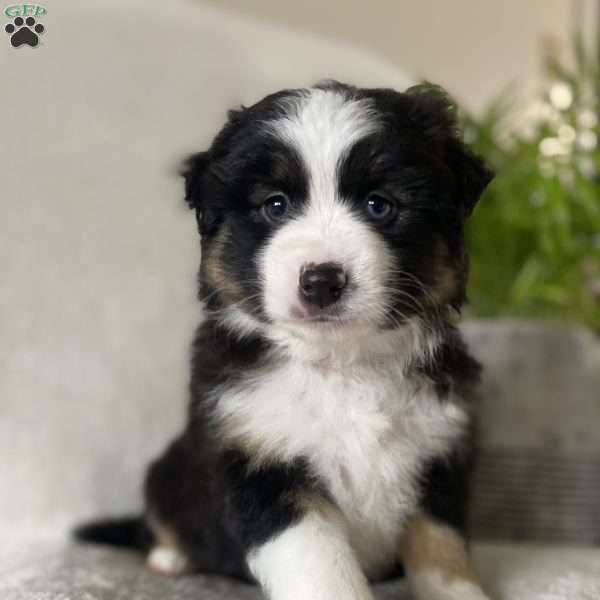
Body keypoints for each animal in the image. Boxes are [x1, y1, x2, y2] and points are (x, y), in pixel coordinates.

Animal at [77, 81, 494, 600]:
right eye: (275, 204)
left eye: (379, 205)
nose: (322, 281)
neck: (343, 363)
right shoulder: (260, 460)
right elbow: (321, 565)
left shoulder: (439, 453)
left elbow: (442, 548)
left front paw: (459, 592)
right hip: (168, 469)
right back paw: (171, 557)